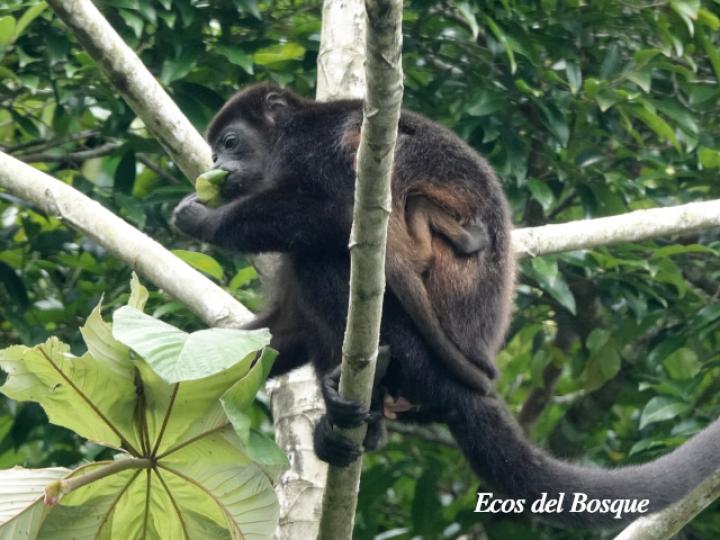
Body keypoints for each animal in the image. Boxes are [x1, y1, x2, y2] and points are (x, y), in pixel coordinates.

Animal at [172, 84, 720, 528]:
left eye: (230, 143)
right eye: (215, 151)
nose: (216, 168)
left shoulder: (309, 146)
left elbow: (331, 210)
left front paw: (203, 220)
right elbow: (281, 330)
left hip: (420, 343)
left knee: (326, 255)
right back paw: (350, 424)